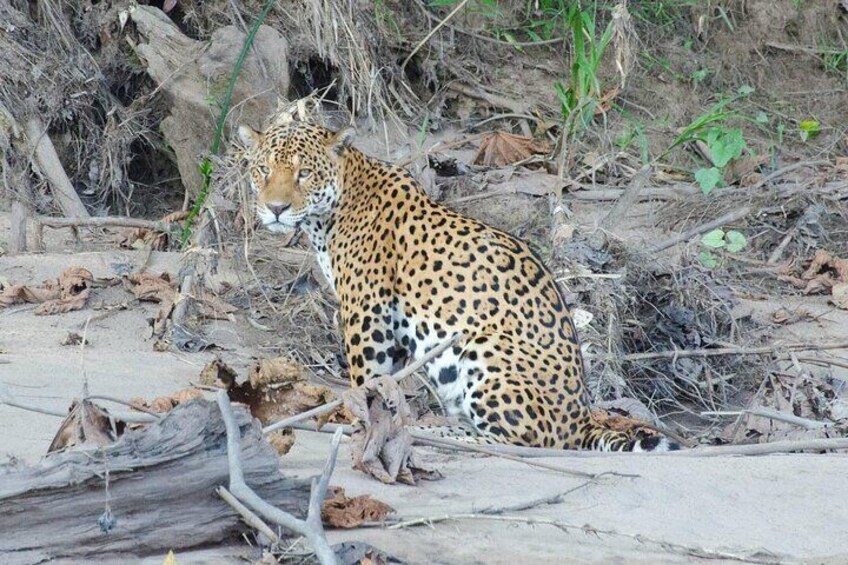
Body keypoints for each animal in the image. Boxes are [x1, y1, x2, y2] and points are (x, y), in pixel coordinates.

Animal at [238, 118, 677, 452]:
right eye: (263, 171)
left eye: (304, 173)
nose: (275, 209)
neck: (332, 212)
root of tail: (583, 420)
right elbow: (388, 381)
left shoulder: (368, 310)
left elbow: (366, 376)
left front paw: (357, 416)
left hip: (486, 345)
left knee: (521, 441)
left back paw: (437, 433)